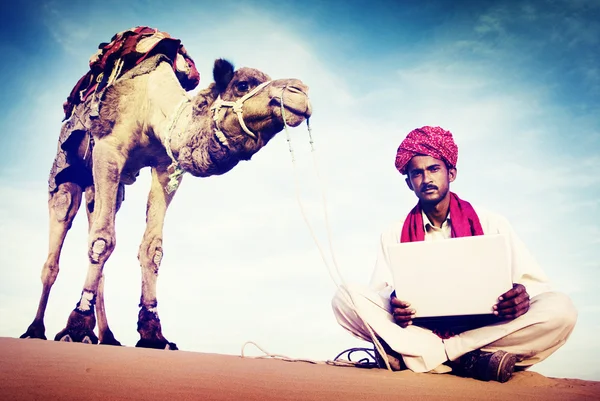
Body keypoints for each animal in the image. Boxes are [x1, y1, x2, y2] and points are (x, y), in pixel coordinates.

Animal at [19, 47, 310, 346]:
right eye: (243, 85)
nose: (300, 91)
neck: (150, 104)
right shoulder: (108, 148)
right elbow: (103, 240)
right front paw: (76, 325)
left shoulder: (166, 166)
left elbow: (151, 249)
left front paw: (153, 333)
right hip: (66, 170)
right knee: (60, 231)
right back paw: (36, 329)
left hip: (102, 187)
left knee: (96, 219)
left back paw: (107, 336)